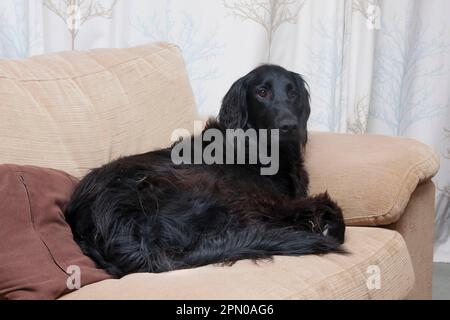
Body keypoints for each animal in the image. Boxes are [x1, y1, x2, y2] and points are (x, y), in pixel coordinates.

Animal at [65, 65, 346, 278]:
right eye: (262, 92)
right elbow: (322, 204)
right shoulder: (264, 199)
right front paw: (324, 224)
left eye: (292, 93)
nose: (290, 126)